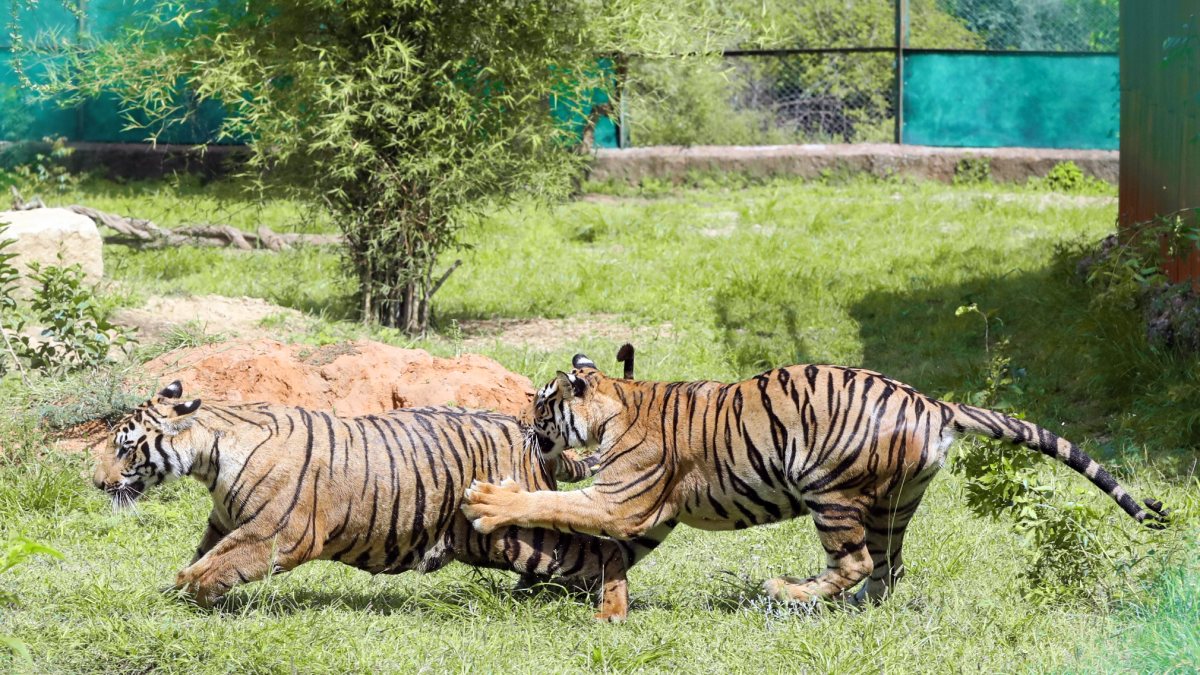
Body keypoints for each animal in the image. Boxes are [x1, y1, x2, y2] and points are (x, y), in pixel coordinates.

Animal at [91, 380, 647, 621]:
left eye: (124, 446)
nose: (96, 483)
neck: (209, 459)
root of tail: (529, 432)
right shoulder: (226, 523)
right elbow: (205, 555)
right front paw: (173, 591)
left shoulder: (281, 533)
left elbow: (213, 567)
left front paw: (193, 593)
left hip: (516, 534)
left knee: (605, 550)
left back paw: (610, 611)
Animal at [462, 353, 1168, 607]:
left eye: (543, 404)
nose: (528, 426)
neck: (615, 404)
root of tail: (934, 403)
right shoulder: (646, 517)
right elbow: (597, 550)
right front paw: (572, 590)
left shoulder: (622, 501)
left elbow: (555, 505)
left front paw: (488, 500)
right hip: (895, 504)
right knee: (887, 568)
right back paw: (855, 612)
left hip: (829, 489)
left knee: (855, 562)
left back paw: (786, 592)